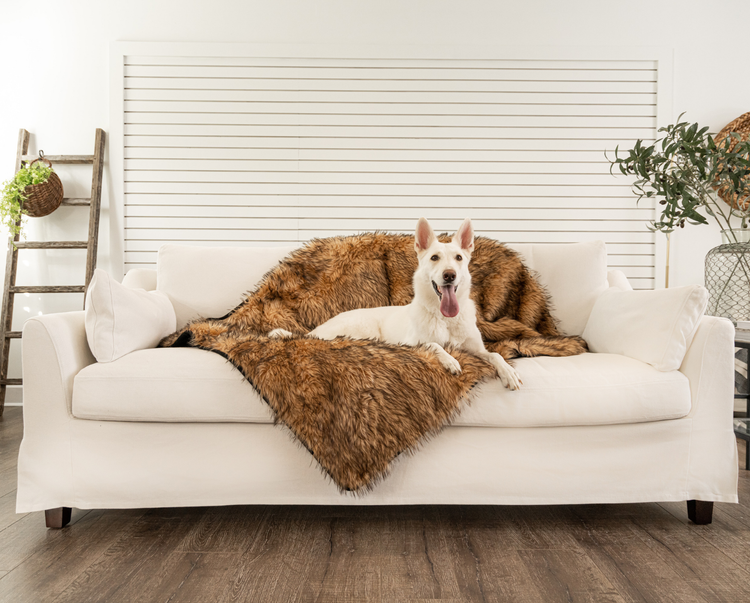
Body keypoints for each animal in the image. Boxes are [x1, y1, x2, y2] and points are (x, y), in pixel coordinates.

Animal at [270, 217, 524, 392]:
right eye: (434, 258)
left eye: (459, 258)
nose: (449, 275)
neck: (444, 319)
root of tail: (318, 329)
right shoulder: (410, 344)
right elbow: (434, 345)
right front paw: (451, 360)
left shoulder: (478, 350)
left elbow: (495, 354)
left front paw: (508, 372)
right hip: (361, 330)